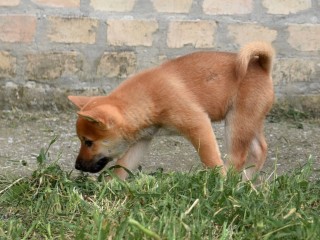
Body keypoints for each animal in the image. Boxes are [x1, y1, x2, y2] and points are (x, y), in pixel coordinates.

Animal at [69, 41, 274, 180]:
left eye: (88, 142)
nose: (77, 166)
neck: (147, 98)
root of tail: (261, 67)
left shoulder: (198, 124)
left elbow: (211, 159)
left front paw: (219, 183)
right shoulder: (142, 140)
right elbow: (123, 166)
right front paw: (111, 186)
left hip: (237, 123)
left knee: (237, 157)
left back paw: (231, 184)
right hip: (250, 122)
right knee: (259, 149)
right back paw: (246, 184)